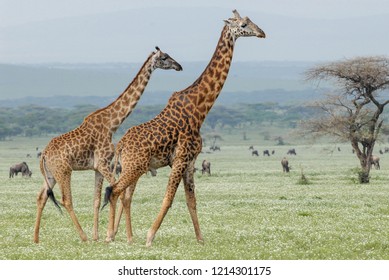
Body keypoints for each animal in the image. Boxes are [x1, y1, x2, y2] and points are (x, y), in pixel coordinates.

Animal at [33, 46, 182, 243]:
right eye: (164, 57)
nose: (179, 66)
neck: (112, 123)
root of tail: (44, 154)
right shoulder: (103, 163)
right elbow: (117, 192)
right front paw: (118, 235)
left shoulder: (98, 167)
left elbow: (97, 200)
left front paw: (98, 236)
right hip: (64, 171)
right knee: (66, 200)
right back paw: (83, 237)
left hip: (51, 174)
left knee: (41, 196)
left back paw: (36, 239)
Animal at [101, 9, 266, 245]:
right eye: (243, 25)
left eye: (251, 21)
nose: (262, 33)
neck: (199, 110)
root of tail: (121, 145)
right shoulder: (180, 159)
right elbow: (169, 198)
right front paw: (150, 237)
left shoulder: (190, 161)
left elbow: (191, 201)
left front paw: (201, 239)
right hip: (135, 166)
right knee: (114, 190)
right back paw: (111, 236)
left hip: (133, 167)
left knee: (122, 193)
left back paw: (120, 236)